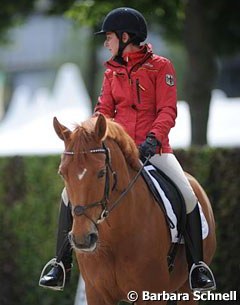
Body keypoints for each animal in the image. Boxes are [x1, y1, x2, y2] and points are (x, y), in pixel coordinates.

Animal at [54, 113, 216, 302]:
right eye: (62, 173)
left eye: (102, 172)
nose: (82, 239)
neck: (115, 236)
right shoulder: (96, 294)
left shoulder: (151, 294)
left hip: (187, 290)